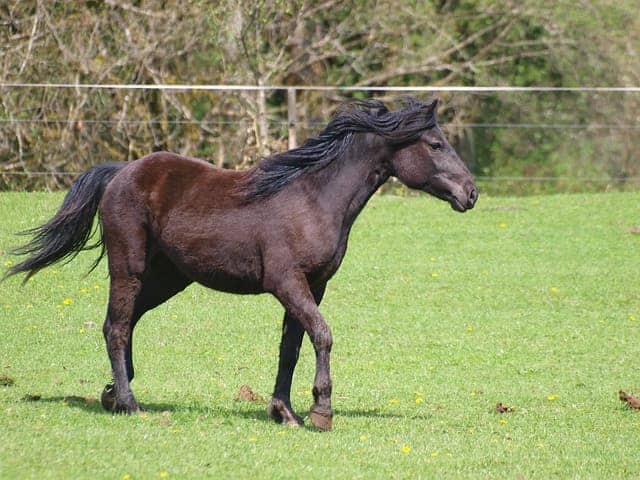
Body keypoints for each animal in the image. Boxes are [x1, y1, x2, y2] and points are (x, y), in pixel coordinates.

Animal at [5, 97, 476, 432]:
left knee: (124, 323)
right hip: (130, 268)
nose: (470, 193)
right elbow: (322, 336)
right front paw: (321, 410)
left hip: (167, 279)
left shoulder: (312, 286)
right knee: (117, 327)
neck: (314, 199)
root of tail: (121, 172)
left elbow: (292, 346)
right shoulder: (287, 281)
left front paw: (285, 412)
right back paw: (129, 403)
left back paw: (111, 394)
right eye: (436, 144)